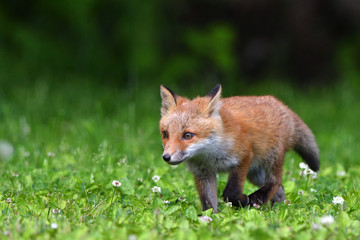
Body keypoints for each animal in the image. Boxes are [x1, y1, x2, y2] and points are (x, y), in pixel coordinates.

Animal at [159, 84, 320, 212]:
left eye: (187, 135)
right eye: (165, 134)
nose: (166, 157)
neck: (208, 155)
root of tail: (281, 105)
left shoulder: (244, 156)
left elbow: (230, 192)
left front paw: (243, 201)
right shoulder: (203, 173)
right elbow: (208, 202)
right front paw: (210, 220)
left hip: (272, 158)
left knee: (275, 182)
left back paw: (258, 199)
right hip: (255, 173)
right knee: (280, 188)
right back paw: (280, 208)